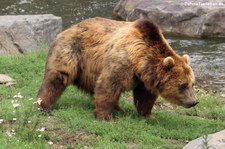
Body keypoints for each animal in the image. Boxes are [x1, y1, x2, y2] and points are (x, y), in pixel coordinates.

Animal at [36, 17, 199, 120]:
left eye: (192, 84)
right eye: (182, 85)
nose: (194, 102)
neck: (141, 61)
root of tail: (66, 30)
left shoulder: (144, 79)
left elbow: (145, 97)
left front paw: (148, 115)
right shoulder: (123, 61)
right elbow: (109, 85)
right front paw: (104, 116)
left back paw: (120, 108)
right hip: (72, 52)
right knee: (56, 78)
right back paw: (43, 105)